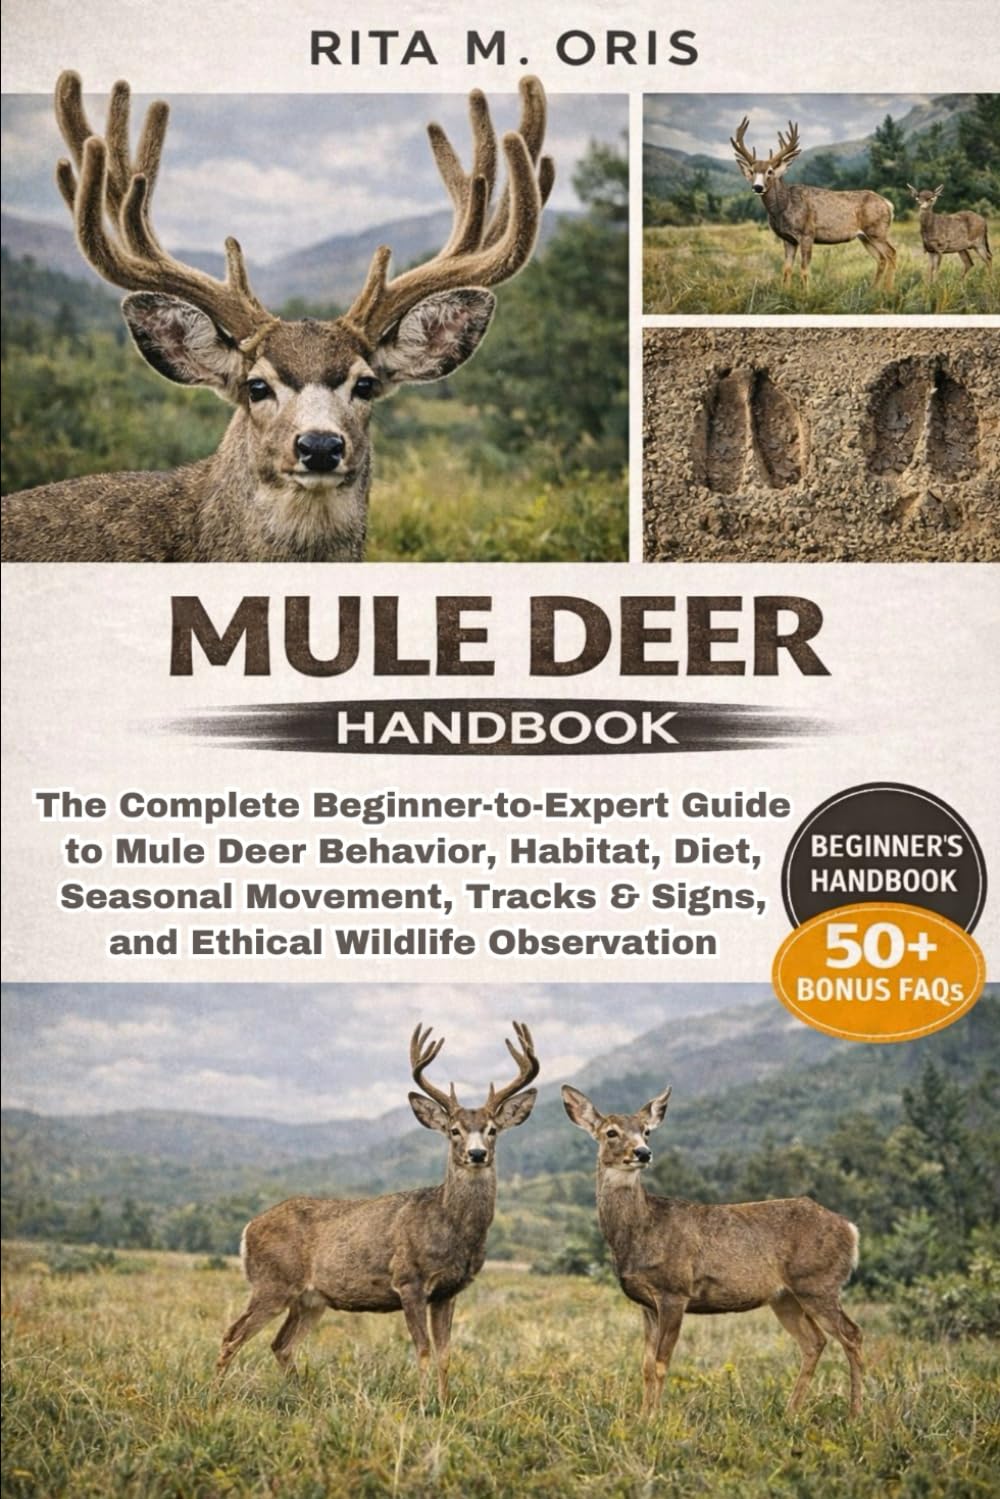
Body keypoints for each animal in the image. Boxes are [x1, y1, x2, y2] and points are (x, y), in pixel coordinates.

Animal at [216, 1022, 538, 1401]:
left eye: (492, 1130)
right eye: (453, 1131)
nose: (476, 1154)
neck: (451, 1228)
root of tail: (248, 1228)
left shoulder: (448, 1291)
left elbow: (445, 1353)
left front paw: (445, 1404)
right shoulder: (409, 1280)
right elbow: (423, 1349)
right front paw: (423, 1404)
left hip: (310, 1299)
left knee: (281, 1344)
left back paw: (302, 1396)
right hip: (272, 1282)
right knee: (232, 1336)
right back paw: (214, 1394)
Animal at [562, 1084, 864, 1418]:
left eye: (646, 1131)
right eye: (611, 1132)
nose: (642, 1152)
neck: (641, 1230)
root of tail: (850, 1229)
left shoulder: (674, 1292)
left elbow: (661, 1364)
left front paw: (653, 1419)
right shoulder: (646, 1303)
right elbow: (645, 1366)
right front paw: (641, 1416)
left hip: (818, 1283)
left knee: (852, 1334)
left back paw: (855, 1413)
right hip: (786, 1296)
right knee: (815, 1341)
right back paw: (791, 1412)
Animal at [731, 118, 896, 290]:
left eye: (770, 171)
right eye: (752, 171)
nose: (757, 187)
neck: (784, 206)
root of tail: (888, 204)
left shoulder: (807, 233)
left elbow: (804, 270)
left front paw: (806, 294)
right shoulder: (788, 239)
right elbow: (786, 269)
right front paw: (785, 292)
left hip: (877, 230)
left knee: (891, 253)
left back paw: (888, 291)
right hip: (865, 236)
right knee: (881, 258)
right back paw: (873, 290)